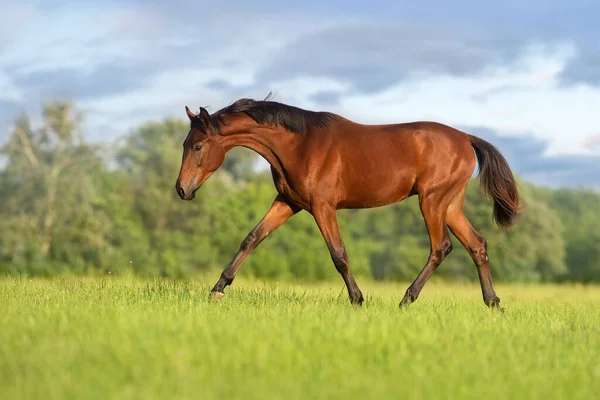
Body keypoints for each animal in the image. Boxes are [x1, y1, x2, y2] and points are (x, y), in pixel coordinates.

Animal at [175, 94, 520, 310]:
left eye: (198, 146)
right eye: (185, 144)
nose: (181, 190)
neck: (300, 146)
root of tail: (465, 138)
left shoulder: (322, 206)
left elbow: (338, 255)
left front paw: (357, 299)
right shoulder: (287, 202)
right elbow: (251, 238)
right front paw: (217, 289)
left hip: (432, 201)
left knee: (441, 247)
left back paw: (406, 300)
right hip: (449, 204)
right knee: (477, 244)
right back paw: (493, 303)